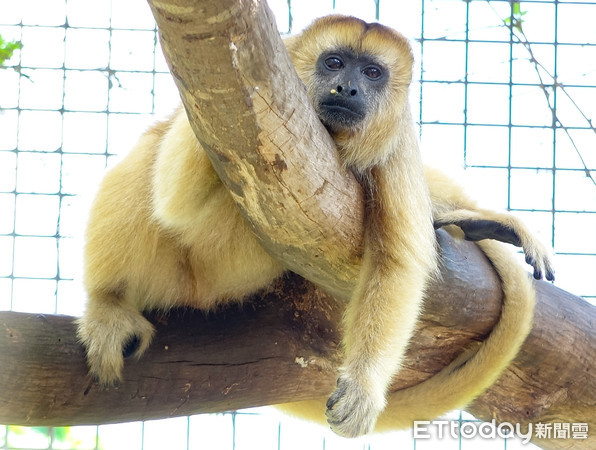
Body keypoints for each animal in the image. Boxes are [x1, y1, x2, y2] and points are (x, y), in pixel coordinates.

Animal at [78, 15, 556, 438]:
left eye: (372, 72)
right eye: (333, 63)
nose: (347, 87)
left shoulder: (397, 143)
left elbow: (397, 263)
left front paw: (364, 388)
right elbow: (174, 199)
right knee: (145, 163)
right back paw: (108, 304)